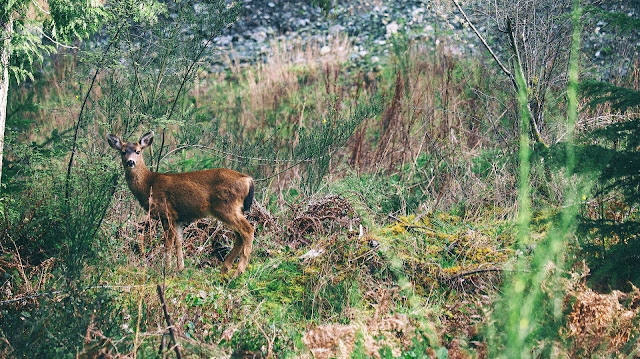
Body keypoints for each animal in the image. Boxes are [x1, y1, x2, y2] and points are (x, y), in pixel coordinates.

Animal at [107, 131, 255, 278]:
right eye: (123, 152)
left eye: (138, 151)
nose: (130, 162)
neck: (148, 185)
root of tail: (248, 179)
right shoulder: (178, 218)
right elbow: (179, 242)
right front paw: (180, 268)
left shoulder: (168, 214)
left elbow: (168, 244)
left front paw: (166, 269)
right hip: (232, 209)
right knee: (239, 236)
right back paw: (225, 269)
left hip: (226, 207)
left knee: (248, 230)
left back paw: (238, 272)